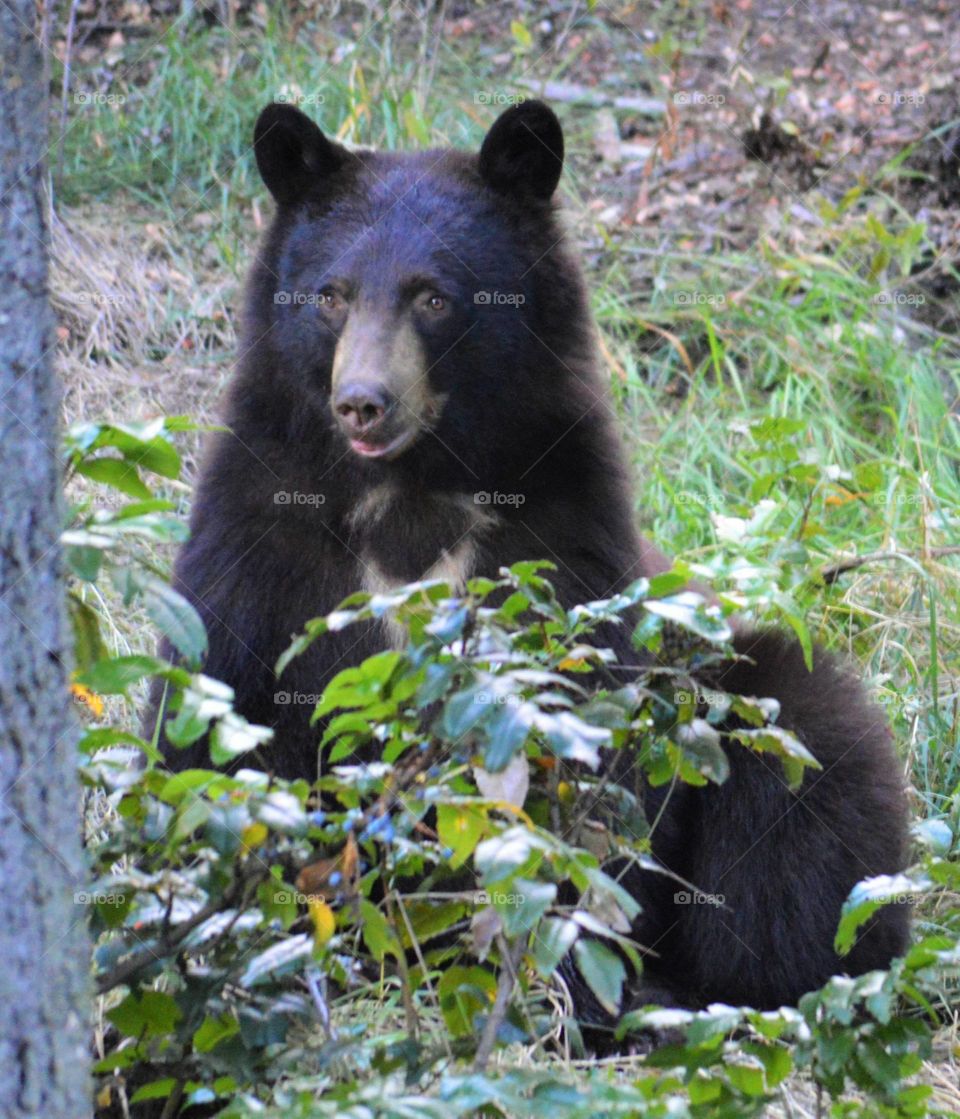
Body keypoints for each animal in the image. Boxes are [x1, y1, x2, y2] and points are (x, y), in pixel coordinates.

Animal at [151, 99, 909, 1024]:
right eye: (329, 296)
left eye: (434, 297)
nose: (363, 402)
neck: (411, 489)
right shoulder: (261, 530)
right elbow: (218, 715)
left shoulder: (560, 537)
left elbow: (585, 755)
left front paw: (567, 981)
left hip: (759, 691)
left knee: (812, 797)